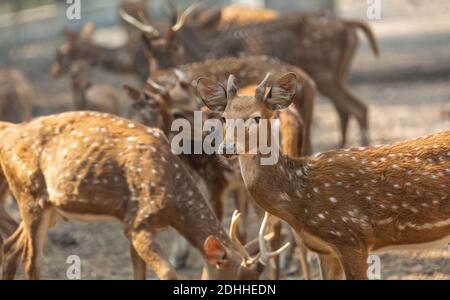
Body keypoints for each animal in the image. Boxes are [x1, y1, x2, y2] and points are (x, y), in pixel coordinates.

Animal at [0, 111, 288, 280]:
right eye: (231, 280)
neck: (173, 202)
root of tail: (8, 132)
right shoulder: (138, 223)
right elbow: (169, 274)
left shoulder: (135, 225)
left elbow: (138, 272)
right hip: (30, 196)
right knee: (31, 259)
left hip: (51, 210)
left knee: (11, 246)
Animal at [120, 5, 380, 148]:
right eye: (149, 52)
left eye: (177, 47)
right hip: (327, 84)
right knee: (343, 112)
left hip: (326, 74)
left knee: (356, 107)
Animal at [199, 72, 450, 278]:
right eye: (224, 117)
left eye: (256, 117)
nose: (226, 148)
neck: (298, 199)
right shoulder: (324, 249)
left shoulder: (351, 237)